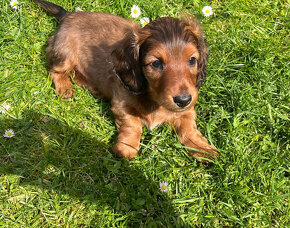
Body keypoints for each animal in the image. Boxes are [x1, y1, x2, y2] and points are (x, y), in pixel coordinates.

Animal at [34, 0, 219, 161]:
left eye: (192, 60)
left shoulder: (188, 110)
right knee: (55, 71)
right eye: (156, 63)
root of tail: (68, 15)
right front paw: (126, 147)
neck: (155, 99)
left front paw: (202, 148)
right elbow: (133, 124)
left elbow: (189, 128)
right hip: (64, 54)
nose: (183, 100)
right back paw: (65, 88)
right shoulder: (121, 104)